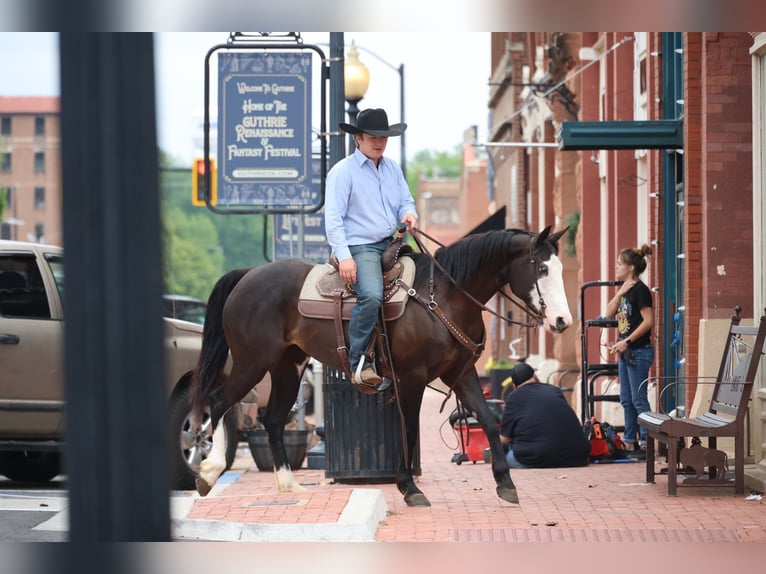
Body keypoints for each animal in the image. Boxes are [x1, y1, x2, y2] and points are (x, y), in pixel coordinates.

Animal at [190, 225, 573, 507]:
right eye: (541, 269)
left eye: (561, 269)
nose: (562, 320)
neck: (443, 297)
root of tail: (248, 274)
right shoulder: (412, 378)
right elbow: (409, 430)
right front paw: (410, 488)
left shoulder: (461, 375)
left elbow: (490, 420)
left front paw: (505, 482)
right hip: (253, 361)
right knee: (219, 402)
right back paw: (208, 473)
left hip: (288, 366)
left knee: (271, 419)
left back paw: (287, 485)